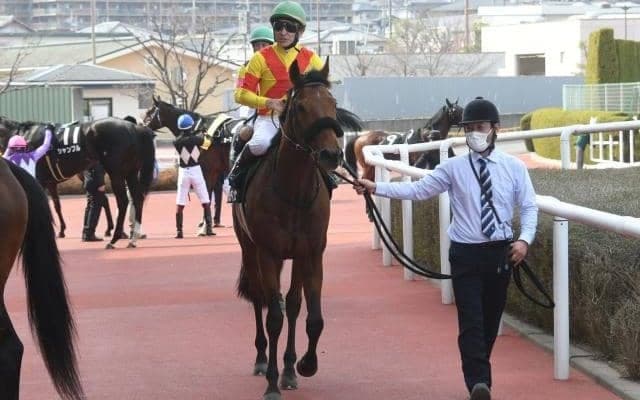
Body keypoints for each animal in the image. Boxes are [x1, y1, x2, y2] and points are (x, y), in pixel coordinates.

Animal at [0, 116, 156, 248]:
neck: (24, 138)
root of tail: (135, 128)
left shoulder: (39, 180)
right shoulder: (50, 182)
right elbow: (56, 205)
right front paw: (61, 230)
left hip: (116, 172)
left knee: (122, 201)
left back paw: (114, 239)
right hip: (131, 172)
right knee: (137, 198)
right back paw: (132, 238)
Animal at [142, 97, 240, 233]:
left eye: (149, 112)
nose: (142, 126)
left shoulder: (208, 171)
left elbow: (207, 194)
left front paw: (205, 225)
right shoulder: (215, 172)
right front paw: (206, 222)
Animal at [233, 59, 362, 400]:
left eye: (332, 103)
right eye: (300, 106)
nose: (331, 155)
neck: (294, 193)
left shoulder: (312, 253)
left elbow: (310, 315)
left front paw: (303, 365)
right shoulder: (268, 253)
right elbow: (274, 316)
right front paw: (271, 382)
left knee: (290, 304)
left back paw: (289, 368)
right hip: (249, 248)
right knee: (259, 298)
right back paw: (262, 358)